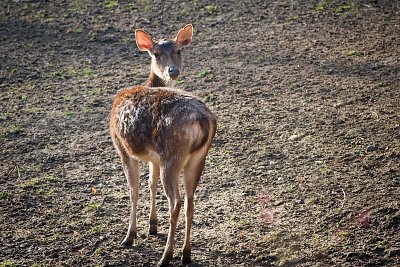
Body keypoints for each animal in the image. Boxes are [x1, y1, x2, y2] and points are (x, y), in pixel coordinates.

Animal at [108, 24, 216, 266]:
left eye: (179, 50)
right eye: (156, 53)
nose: (173, 71)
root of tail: (203, 121)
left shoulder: (122, 148)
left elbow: (134, 189)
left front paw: (129, 236)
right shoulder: (153, 158)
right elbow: (151, 184)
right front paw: (152, 226)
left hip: (172, 156)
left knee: (176, 202)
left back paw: (166, 256)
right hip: (197, 159)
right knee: (190, 200)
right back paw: (186, 254)